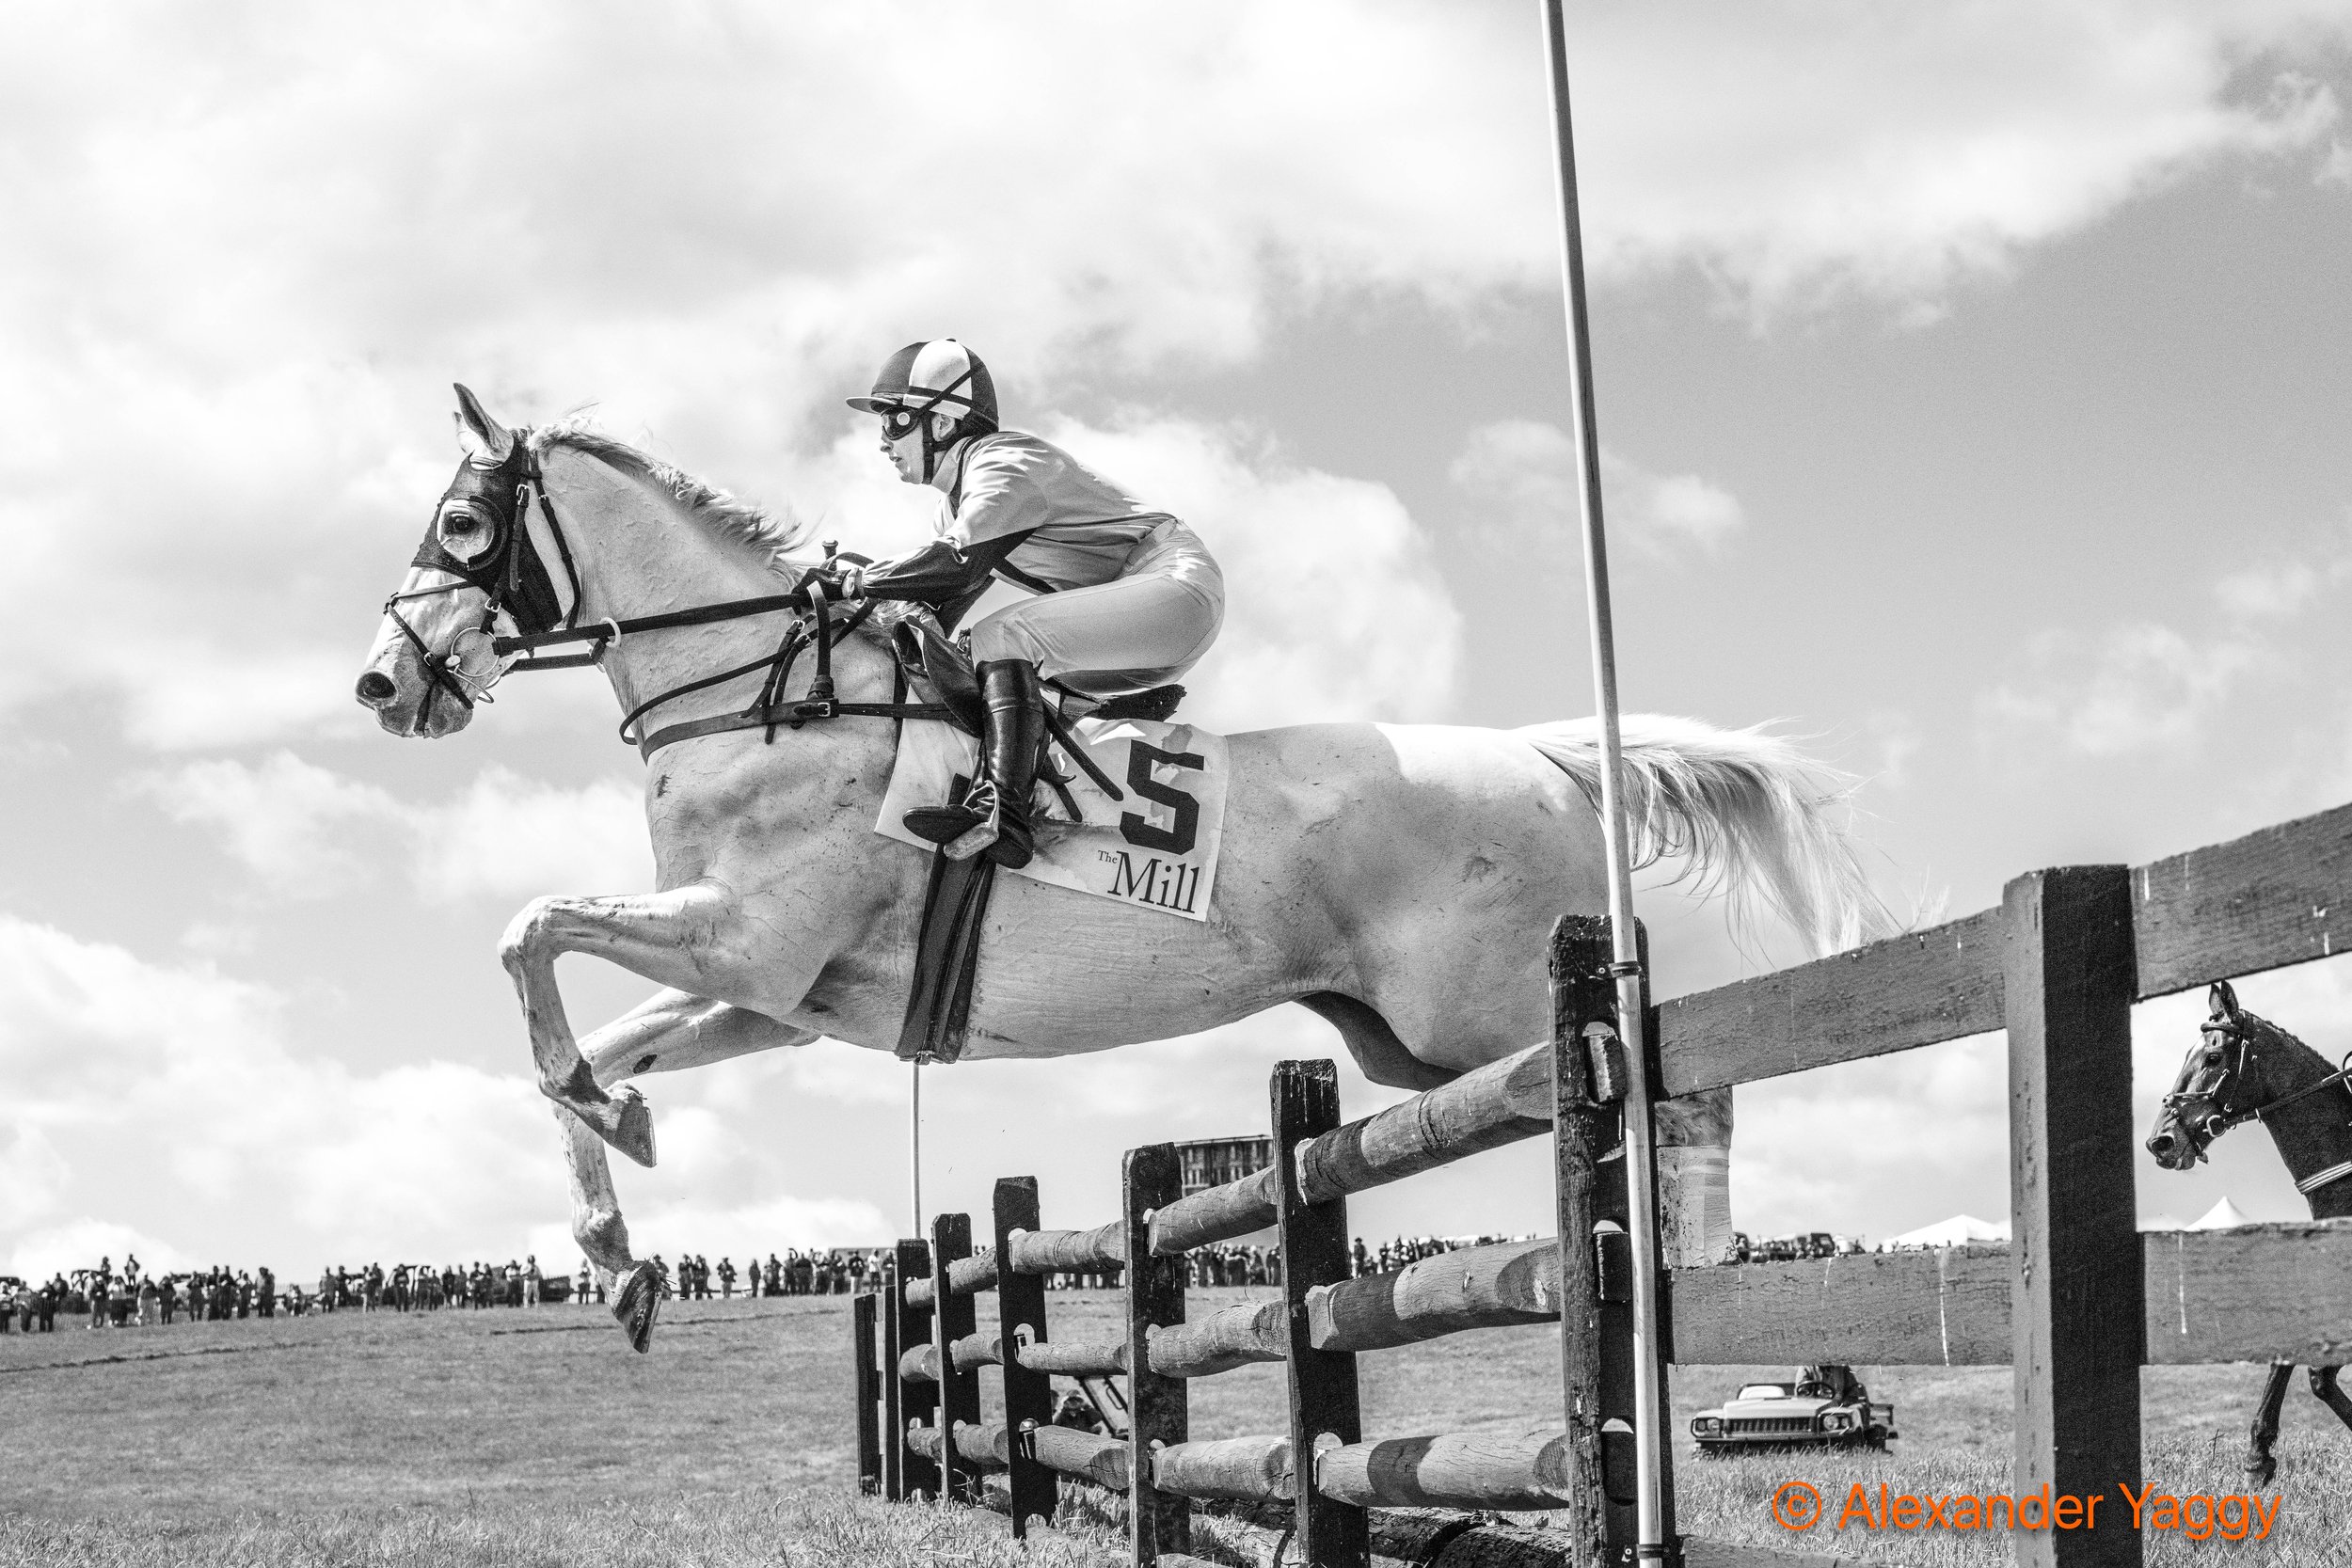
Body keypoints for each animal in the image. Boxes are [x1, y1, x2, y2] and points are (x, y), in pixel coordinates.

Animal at [353, 389, 1891, 1354]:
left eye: (464, 528)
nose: (382, 683)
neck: (762, 694)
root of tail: (1548, 753)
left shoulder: (739, 940)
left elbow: (525, 931)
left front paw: (608, 1154)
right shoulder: (772, 991)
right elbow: (574, 1050)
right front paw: (619, 1221)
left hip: (1496, 1011)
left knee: (1681, 1081)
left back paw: (1695, 1271)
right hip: (1402, 1046)